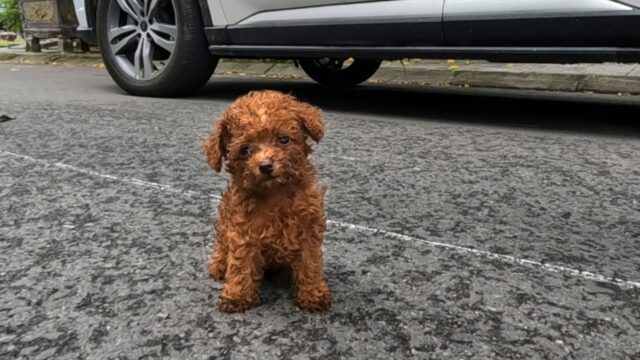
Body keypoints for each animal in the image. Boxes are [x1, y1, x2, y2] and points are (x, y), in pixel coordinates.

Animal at [204, 90, 330, 312]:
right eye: (245, 150)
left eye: (283, 139)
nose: (265, 166)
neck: (275, 193)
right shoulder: (243, 231)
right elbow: (241, 263)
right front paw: (238, 295)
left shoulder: (308, 228)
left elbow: (310, 261)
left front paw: (312, 293)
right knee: (222, 247)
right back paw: (219, 266)